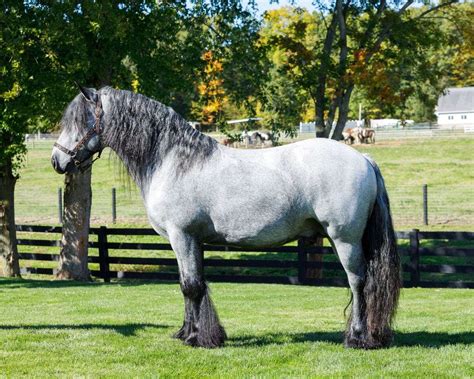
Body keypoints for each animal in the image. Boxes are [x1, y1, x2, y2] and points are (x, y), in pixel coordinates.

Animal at [51, 86, 400, 350]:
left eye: (81, 120)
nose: (57, 160)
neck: (173, 161)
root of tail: (363, 158)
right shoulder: (192, 241)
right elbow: (190, 284)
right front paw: (189, 332)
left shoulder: (182, 236)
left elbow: (191, 286)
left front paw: (197, 338)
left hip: (344, 239)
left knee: (358, 282)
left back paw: (357, 338)